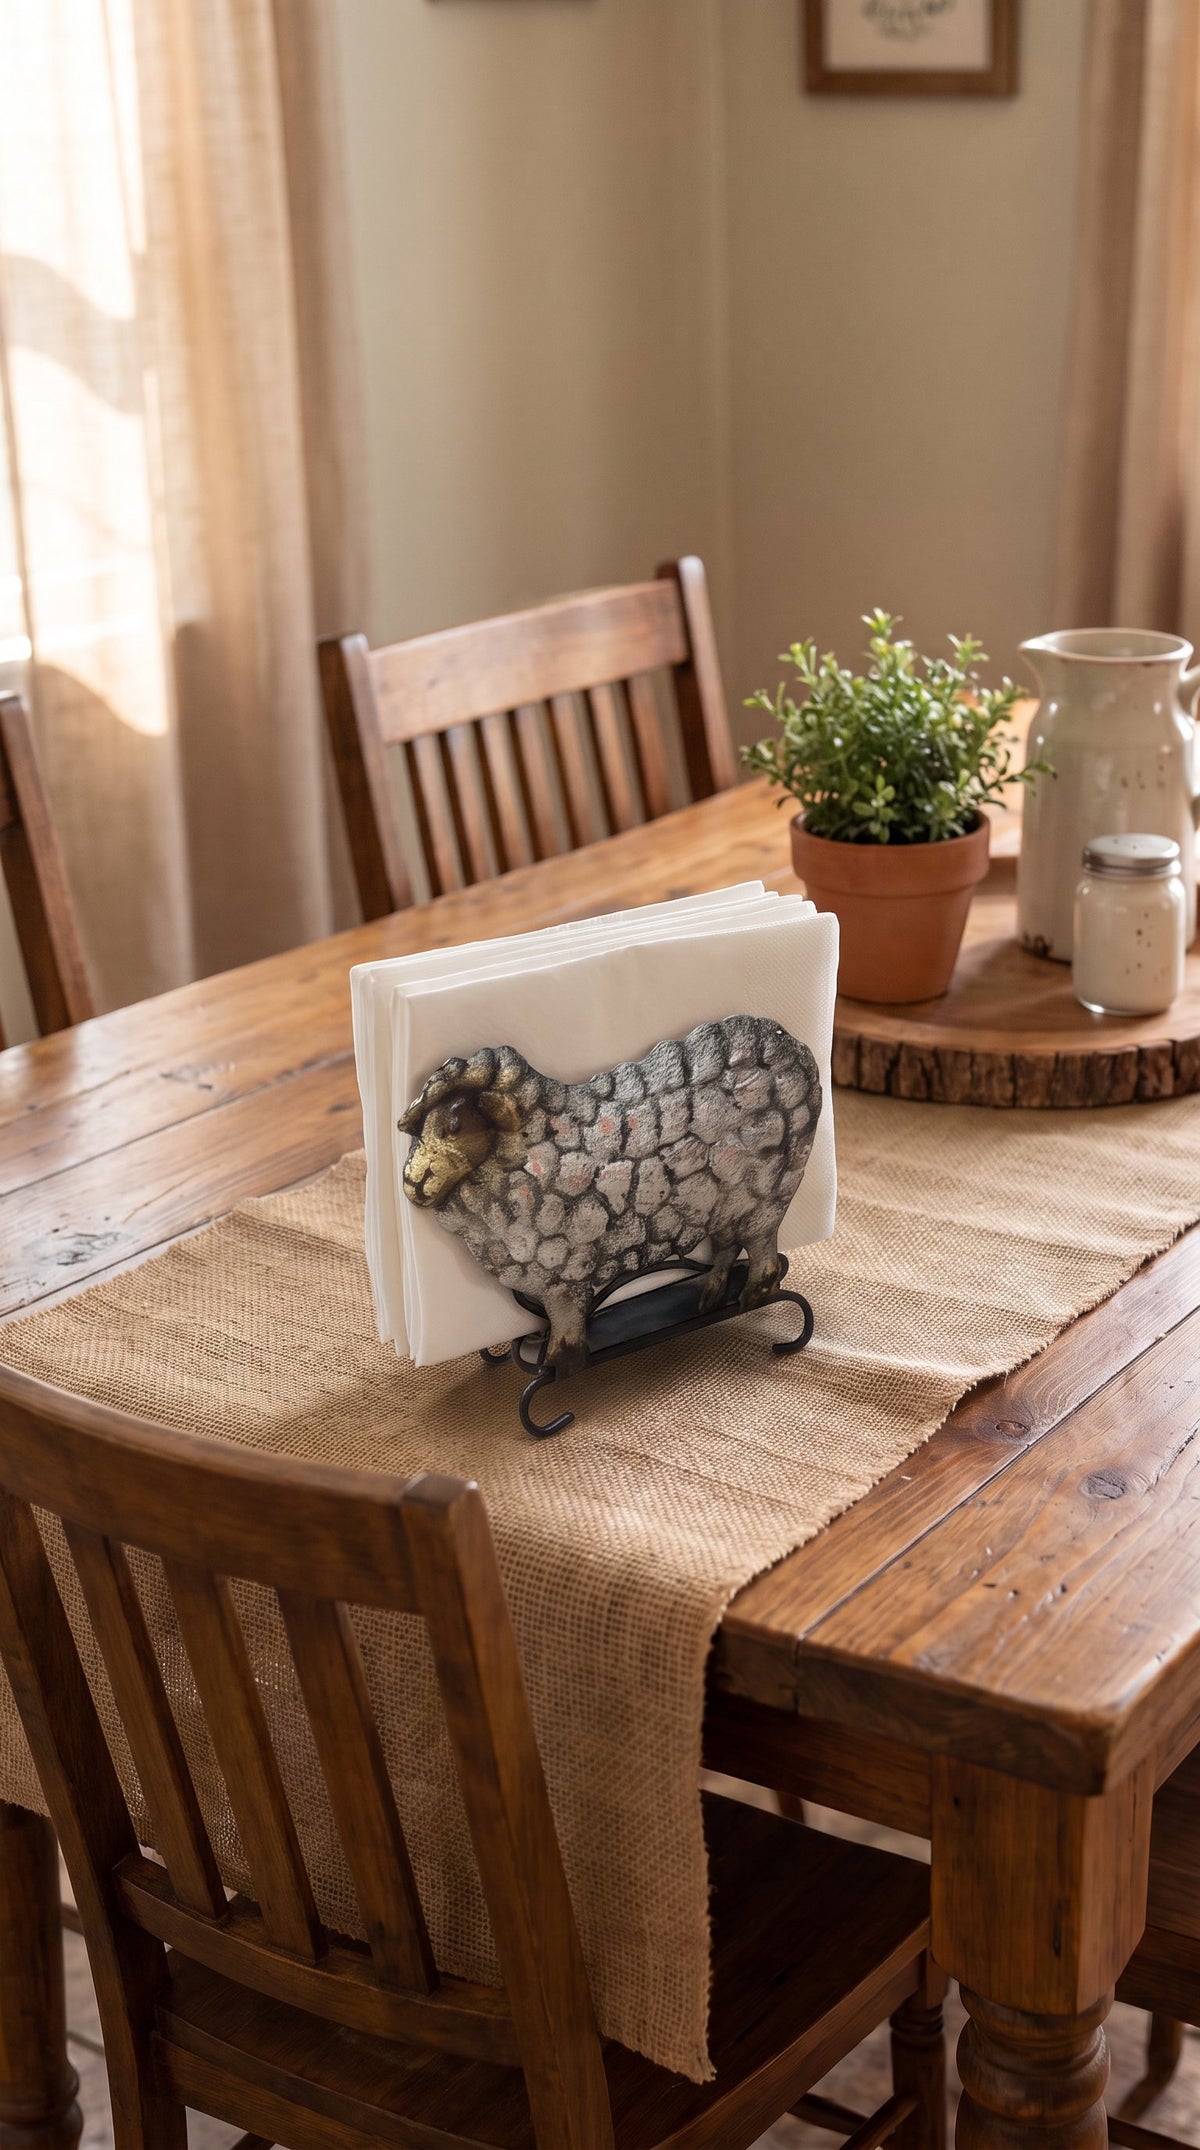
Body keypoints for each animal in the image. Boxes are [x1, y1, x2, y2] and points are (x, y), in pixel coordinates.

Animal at [398, 1014, 821, 1372]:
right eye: (421, 1129)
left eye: (456, 1125)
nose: (411, 1184)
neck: (535, 1149)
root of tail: (795, 1046)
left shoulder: (563, 1276)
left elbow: (566, 1328)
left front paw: (560, 1364)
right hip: (721, 1203)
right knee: (728, 1248)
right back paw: (712, 1296)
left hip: (765, 1196)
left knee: (763, 1252)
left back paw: (753, 1296)